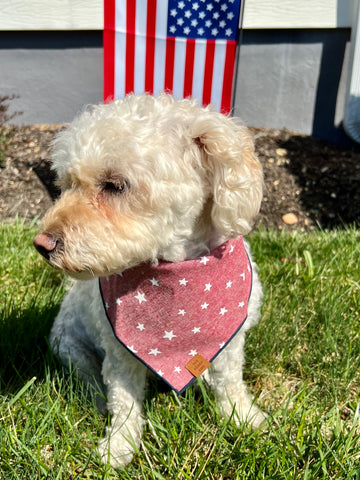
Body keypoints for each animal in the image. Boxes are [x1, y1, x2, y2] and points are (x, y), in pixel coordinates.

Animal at [33, 93, 264, 464]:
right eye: (66, 184)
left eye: (115, 185)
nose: (42, 244)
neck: (176, 272)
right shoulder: (119, 353)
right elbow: (124, 402)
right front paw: (119, 446)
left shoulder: (231, 342)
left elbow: (230, 383)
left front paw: (244, 418)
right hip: (68, 346)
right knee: (88, 380)